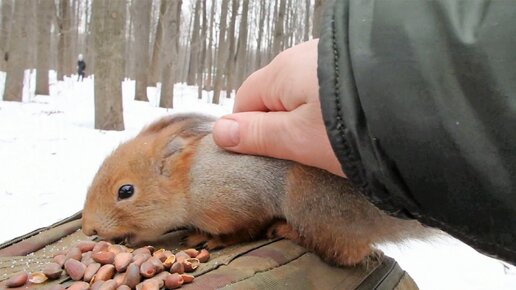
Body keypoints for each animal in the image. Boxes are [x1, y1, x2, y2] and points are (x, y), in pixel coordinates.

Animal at [81, 112, 428, 266]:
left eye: (126, 191)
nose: (88, 229)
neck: (191, 181)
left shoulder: (237, 201)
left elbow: (246, 228)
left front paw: (209, 239)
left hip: (316, 206)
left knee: (346, 252)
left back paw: (287, 231)